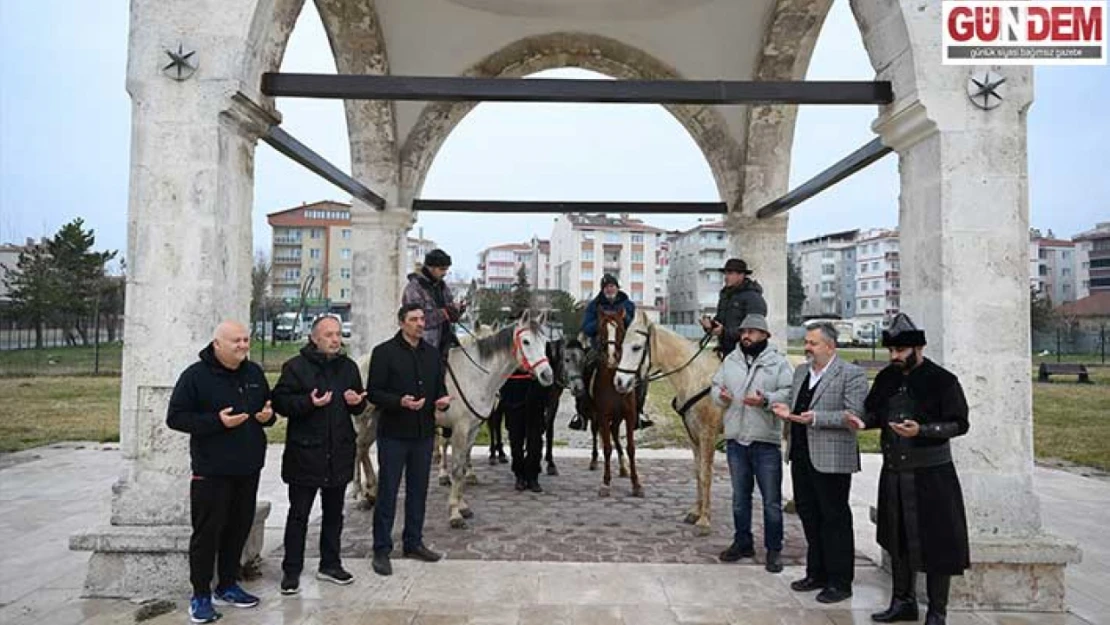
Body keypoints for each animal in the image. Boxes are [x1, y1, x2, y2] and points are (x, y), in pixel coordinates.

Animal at [355, 313, 555, 528]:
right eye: (526, 341)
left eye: (545, 342)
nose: (547, 375)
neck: (476, 376)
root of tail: (361, 360)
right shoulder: (459, 428)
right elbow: (457, 469)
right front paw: (455, 512)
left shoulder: (472, 429)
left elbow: (463, 464)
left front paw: (463, 505)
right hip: (363, 417)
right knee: (358, 448)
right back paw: (360, 494)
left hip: (377, 419)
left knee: (364, 448)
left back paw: (371, 492)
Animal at [594, 308, 648, 499]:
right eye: (601, 330)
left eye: (621, 331)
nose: (612, 356)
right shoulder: (603, 415)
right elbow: (607, 448)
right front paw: (605, 483)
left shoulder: (629, 415)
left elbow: (631, 448)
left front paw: (636, 484)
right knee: (599, 434)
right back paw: (594, 460)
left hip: (618, 418)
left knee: (615, 433)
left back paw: (624, 467)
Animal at [612, 310, 723, 535]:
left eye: (636, 347)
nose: (619, 382)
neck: (695, 377)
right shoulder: (693, 436)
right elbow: (698, 473)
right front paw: (696, 512)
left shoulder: (708, 435)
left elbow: (706, 473)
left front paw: (704, 520)